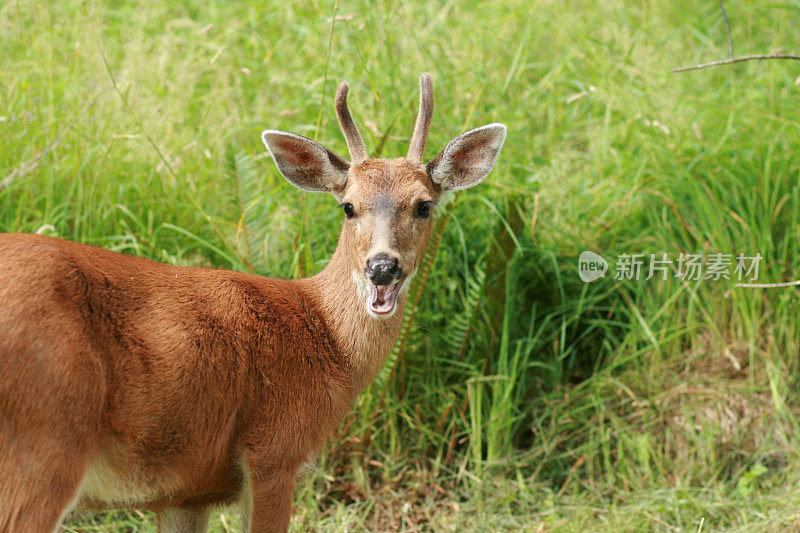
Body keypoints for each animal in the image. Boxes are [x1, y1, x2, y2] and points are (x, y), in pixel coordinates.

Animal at [0, 75, 506, 532]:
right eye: (348, 206)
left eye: (424, 205)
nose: (382, 267)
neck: (322, 331)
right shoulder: (273, 450)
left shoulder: (187, 493)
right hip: (45, 443)